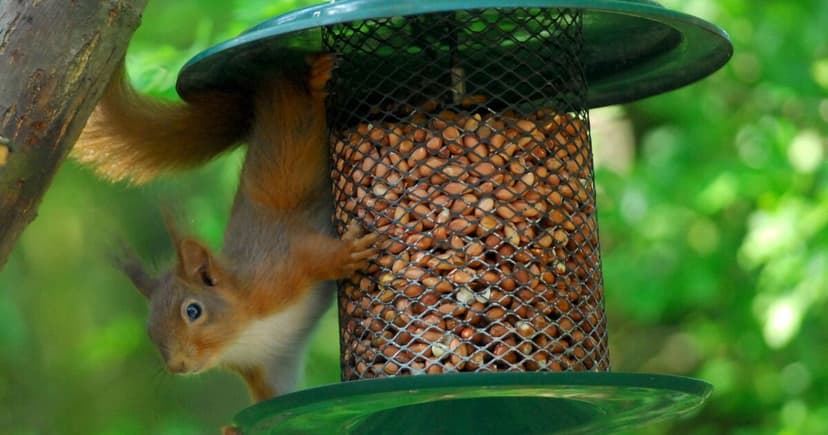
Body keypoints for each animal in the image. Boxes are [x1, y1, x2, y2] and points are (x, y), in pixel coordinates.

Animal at [73, 53, 378, 403]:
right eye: (150, 331)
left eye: (193, 311)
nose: (177, 365)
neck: (244, 332)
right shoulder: (268, 364)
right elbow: (272, 397)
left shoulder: (278, 267)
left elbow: (314, 254)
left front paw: (349, 253)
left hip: (289, 113)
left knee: (300, 101)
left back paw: (315, 79)